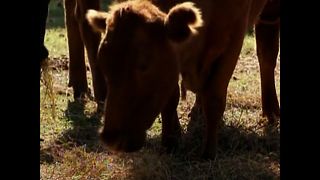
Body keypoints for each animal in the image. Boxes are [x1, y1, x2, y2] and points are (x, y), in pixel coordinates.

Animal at [84, 0, 278, 158]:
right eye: (103, 63)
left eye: (144, 64)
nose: (111, 138)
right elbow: (171, 99)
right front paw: (169, 143)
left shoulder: (233, 41)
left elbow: (214, 99)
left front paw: (209, 153)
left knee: (267, 52)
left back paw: (272, 111)